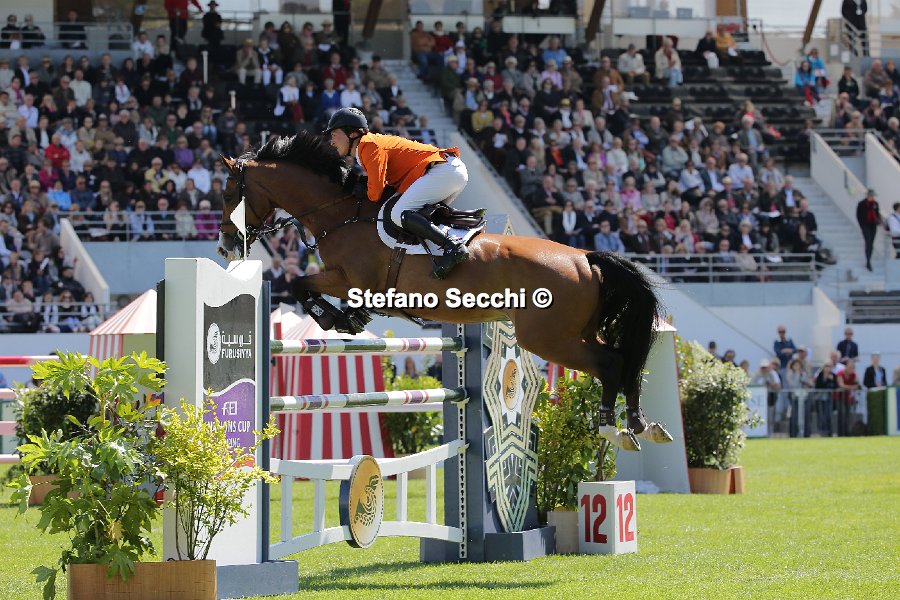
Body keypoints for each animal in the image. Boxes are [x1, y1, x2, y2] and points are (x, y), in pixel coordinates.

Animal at [216, 131, 672, 449]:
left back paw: (613, 428)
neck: (340, 212)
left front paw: (335, 318)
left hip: (548, 338)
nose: (225, 246)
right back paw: (639, 425)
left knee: (610, 363)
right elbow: (304, 285)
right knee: (623, 361)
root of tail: (585, 258)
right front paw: (348, 317)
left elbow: (301, 284)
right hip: (574, 332)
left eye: (228, 192)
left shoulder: (351, 279)